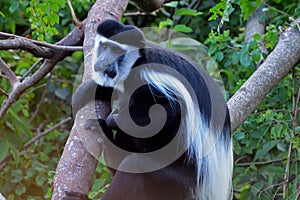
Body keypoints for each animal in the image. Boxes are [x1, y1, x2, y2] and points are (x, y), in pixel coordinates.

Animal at [71, 19, 233, 200]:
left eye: (117, 51)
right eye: (105, 46)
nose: (104, 64)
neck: (137, 63)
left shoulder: (151, 80)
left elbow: (168, 112)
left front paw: (115, 119)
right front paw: (87, 91)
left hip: (182, 182)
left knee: (135, 164)